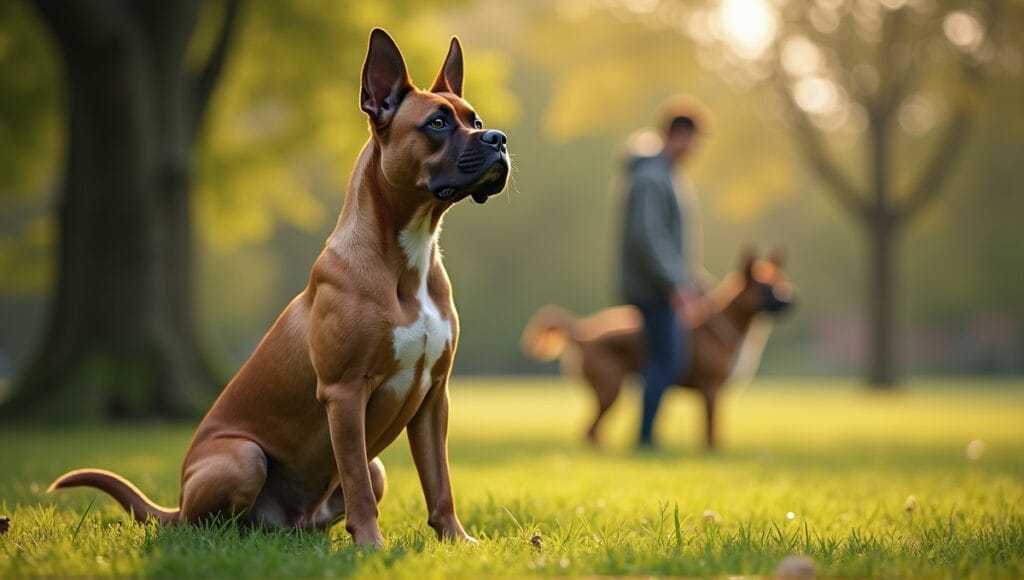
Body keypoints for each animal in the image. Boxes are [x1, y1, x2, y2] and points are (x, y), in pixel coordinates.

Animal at [48, 29, 512, 553]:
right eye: (437, 123)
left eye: (475, 120)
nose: (498, 139)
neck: (409, 251)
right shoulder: (345, 393)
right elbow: (354, 479)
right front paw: (371, 546)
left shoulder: (434, 398)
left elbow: (439, 482)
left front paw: (456, 539)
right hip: (244, 458)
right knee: (206, 522)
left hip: (371, 472)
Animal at [520, 250, 790, 450]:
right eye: (766, 287)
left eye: (781, 281)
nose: (792, 298)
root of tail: (583, 332)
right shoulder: (711, 390)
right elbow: (711, 430)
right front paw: (713, 452)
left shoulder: (716, 393)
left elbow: (712, 428)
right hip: (610, 390)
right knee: (588, 431)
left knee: (591, 431)